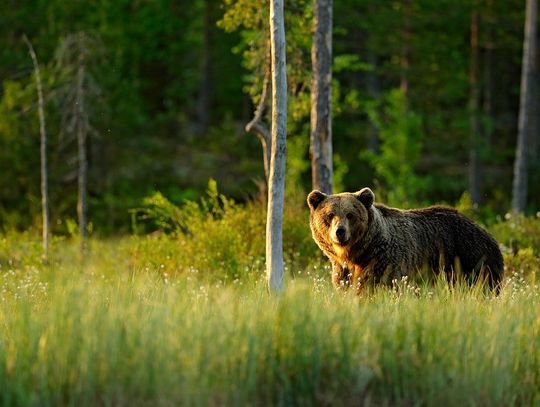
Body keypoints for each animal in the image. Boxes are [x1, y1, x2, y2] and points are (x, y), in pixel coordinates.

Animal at [308, 188, 506, 294]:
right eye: (330, 215)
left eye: (350, 215)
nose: (340, 232)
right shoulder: (342, 270)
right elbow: (346, 286)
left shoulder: (384, 262)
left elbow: (373, 286)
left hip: (470, 258)